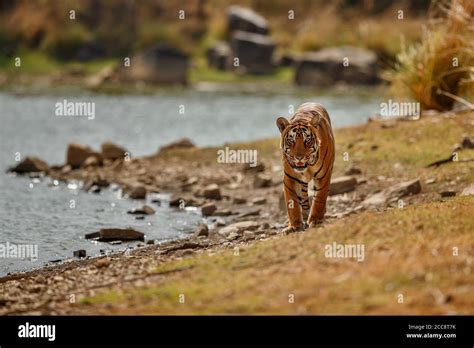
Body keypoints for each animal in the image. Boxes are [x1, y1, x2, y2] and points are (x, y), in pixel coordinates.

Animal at [276, 103, 336, 234]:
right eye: (291, 141)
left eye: (307, 141)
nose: (299, 157)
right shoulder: (290, 178)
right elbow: (292, 203)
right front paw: (295, 226)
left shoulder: (324, 176)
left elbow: (319, 199)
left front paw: (315, 221)